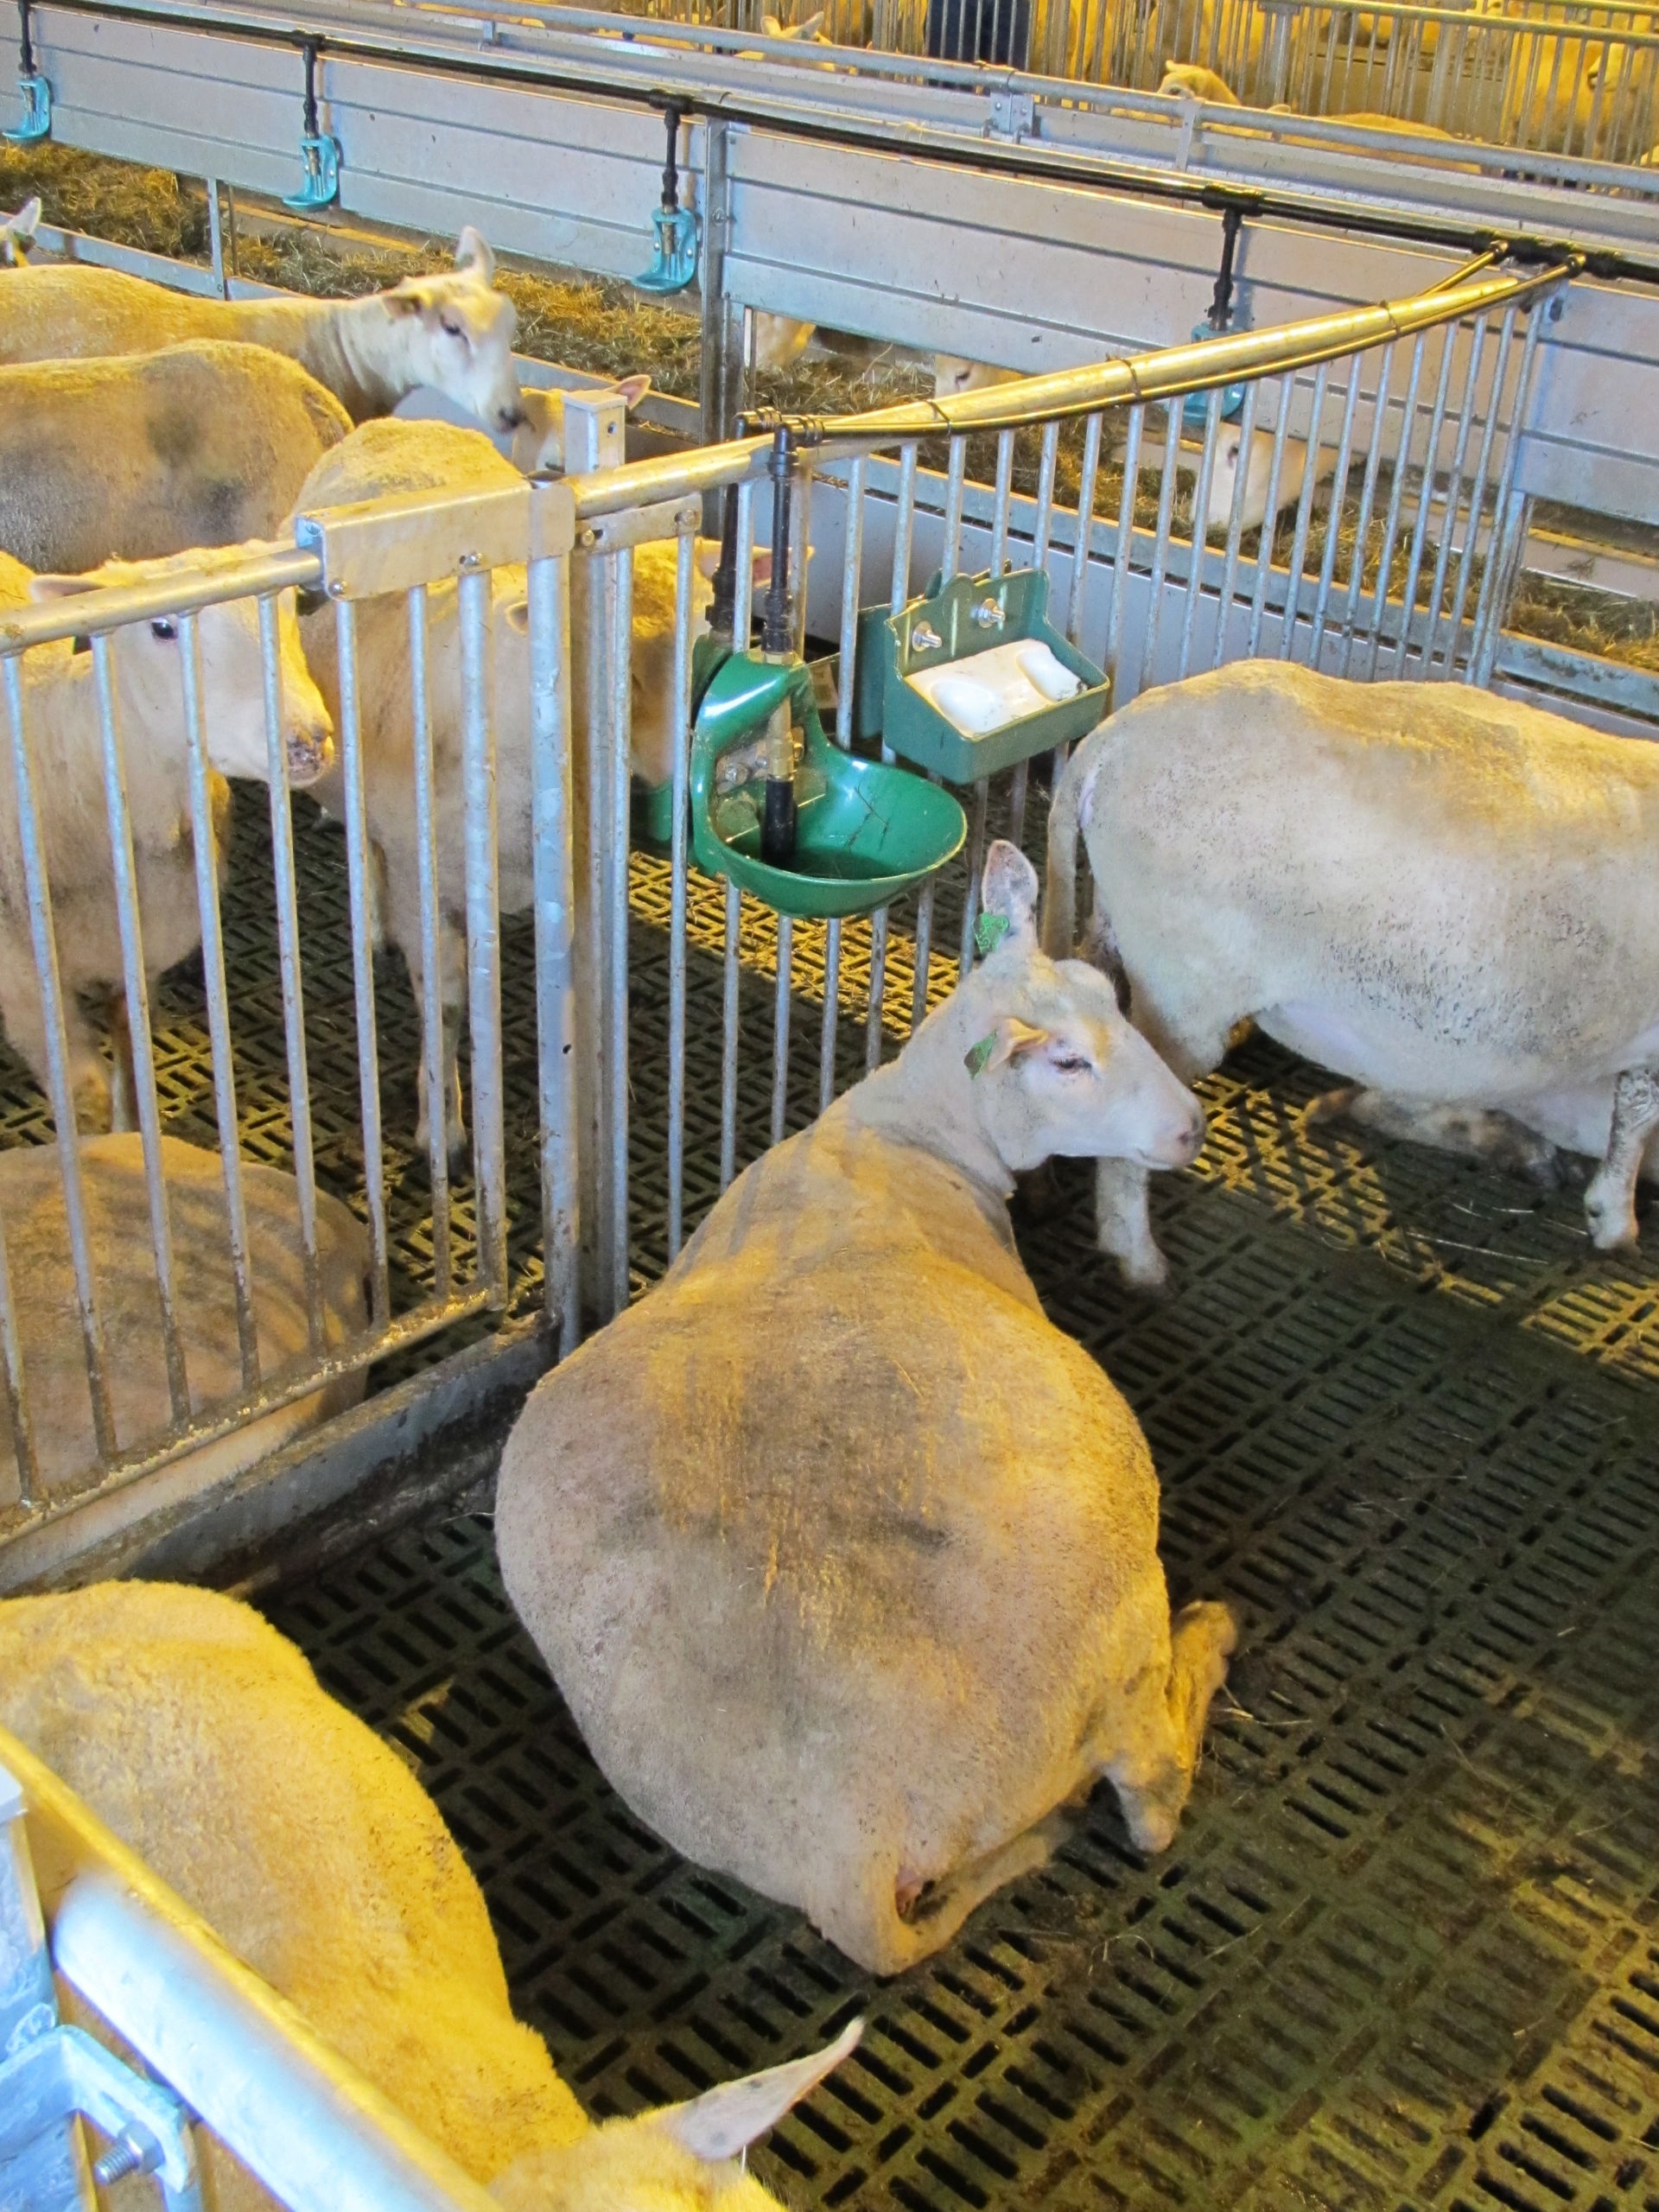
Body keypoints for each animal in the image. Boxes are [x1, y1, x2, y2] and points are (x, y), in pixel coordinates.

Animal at [0, 542, 332, 1133]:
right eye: (160, 627)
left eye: (291, 605)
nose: (308, 741)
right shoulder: (24, 988)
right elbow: (86, 1099)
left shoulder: (143, 956)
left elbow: (133, 1069)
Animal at [497, 839, 1235, 1977]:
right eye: (1066, 1063)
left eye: (1112, 995)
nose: (1192, 1128)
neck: (908, 1137)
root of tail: (851, 1842)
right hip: (1117, 1642)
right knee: (1152, 1799)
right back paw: (1209, 1639)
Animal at [1044, 660, 1659, 1285]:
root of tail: (1110, 740)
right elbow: (1638, 1114)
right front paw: (1616, 1221)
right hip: (1186, 985)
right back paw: (1138, 1260)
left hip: (1116, 930)